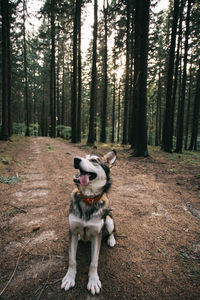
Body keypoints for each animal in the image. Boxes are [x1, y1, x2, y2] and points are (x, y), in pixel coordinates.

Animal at [61, 149, 117, 294]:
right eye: (83, 157)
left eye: (94, 160)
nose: (76, 159)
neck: (88, 198)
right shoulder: (73, 232)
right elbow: (72, 259)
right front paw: (69, 278)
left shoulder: (97, 235)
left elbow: (94, 262)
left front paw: (93, 280)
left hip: (108, 220)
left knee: (112, 231)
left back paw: (111, 240)